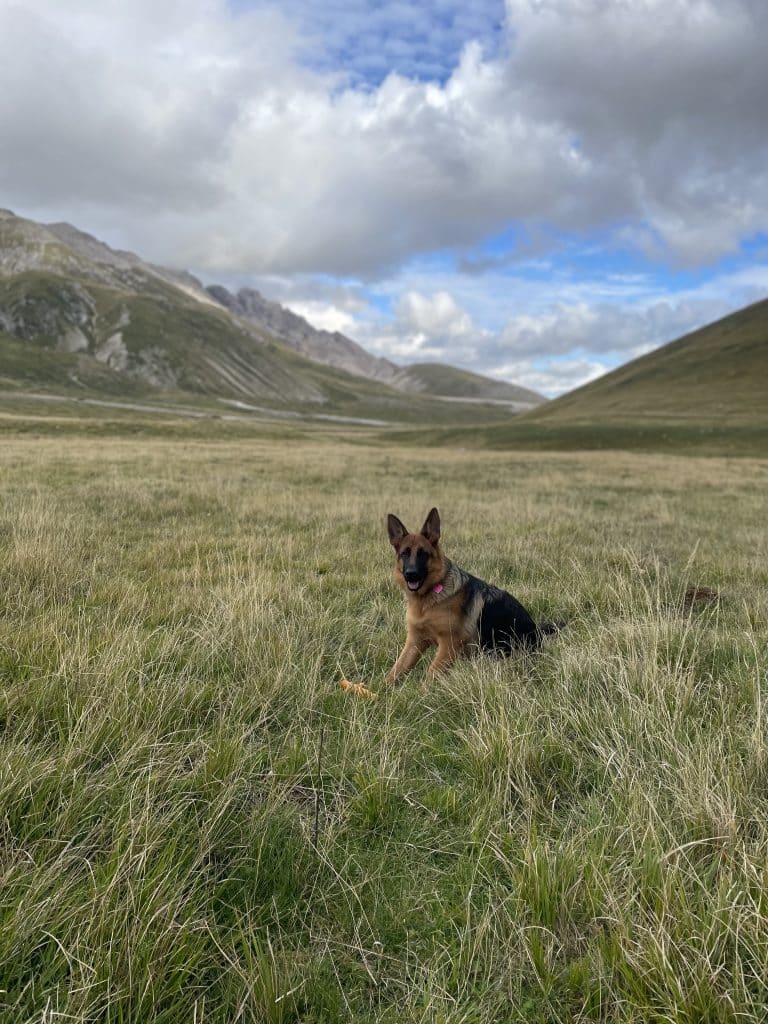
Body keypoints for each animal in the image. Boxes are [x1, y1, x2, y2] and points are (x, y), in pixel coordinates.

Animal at [386, 507, 558, 681]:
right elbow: (396, 670)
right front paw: (384, 687)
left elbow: (431, 674)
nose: (411, 574)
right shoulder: (415, 642)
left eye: (423, 554)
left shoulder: (449, 644)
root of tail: (537, 631)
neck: (428, 599)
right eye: (405, 554)